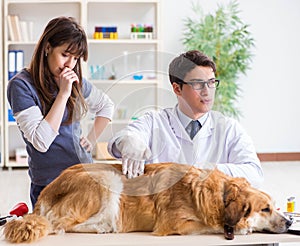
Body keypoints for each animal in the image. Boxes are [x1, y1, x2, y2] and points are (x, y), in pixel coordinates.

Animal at [3, 162, 292, 243]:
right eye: (265, 209)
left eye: (275, 205)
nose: (290, 222)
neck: (219, 195)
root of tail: (46, 193)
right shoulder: (172, 224)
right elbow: (210, 225)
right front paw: (240, 227)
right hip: (105, 176)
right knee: (58, 225)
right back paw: (104, 227)